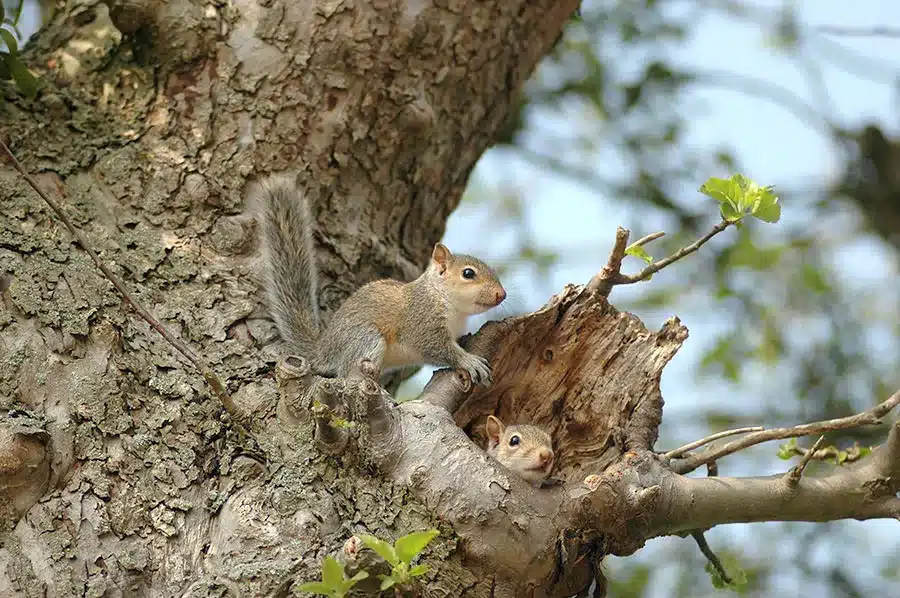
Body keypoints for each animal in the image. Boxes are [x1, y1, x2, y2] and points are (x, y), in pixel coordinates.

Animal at [253, 176, 506, 386]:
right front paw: (469, 361)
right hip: (365, 338)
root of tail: (323, 350)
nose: (501, 294)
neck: (445, 301)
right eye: (468, 273)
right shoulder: (422, 322)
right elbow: (438, 348)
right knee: (347, 373)